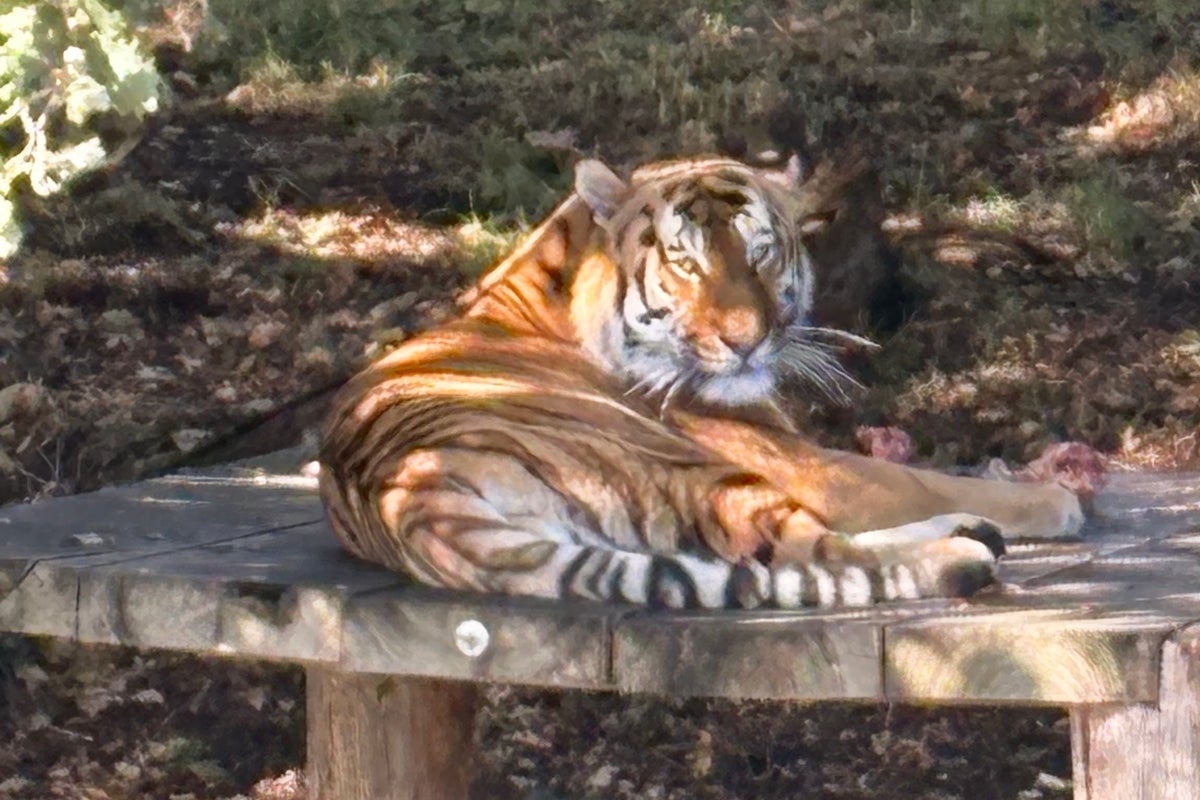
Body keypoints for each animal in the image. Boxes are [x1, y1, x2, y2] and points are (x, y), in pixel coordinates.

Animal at [318, 155, 1084, 610]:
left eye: (760, 252)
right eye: (685, 263)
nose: (744, 342)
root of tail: (415, 501)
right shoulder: (811, 466)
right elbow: (926, 477)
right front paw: (1055, 498)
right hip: (693, 473)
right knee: (821, 554)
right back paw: (965, 550)